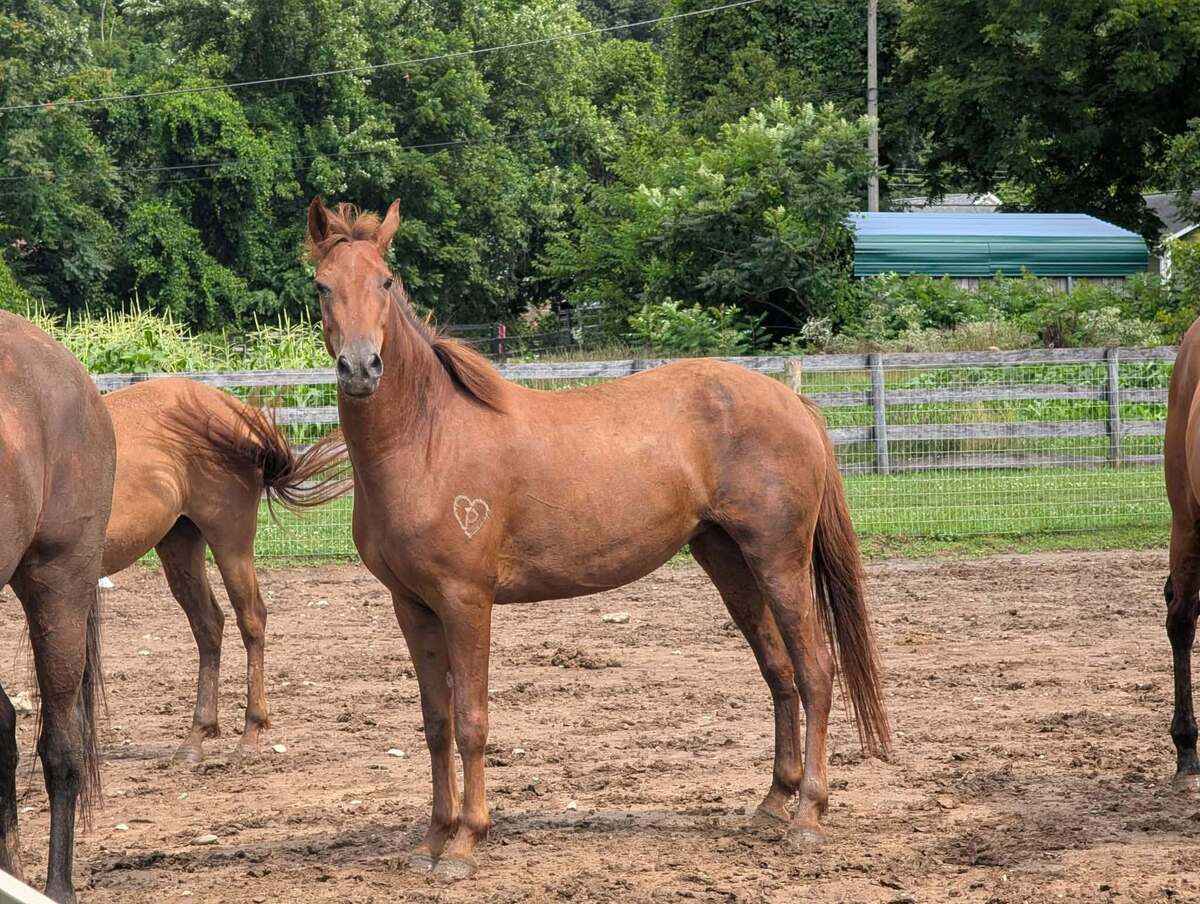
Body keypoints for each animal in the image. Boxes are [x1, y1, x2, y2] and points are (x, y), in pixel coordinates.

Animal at [101, 378, 348, 763]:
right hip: (180, 541)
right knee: (208, 624)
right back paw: (196, 737)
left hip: (230, 541)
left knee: (251, 619)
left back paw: (249, 735)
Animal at [304, 197, 891, 880]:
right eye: (322, 286)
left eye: (386, 281)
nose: (360, 367)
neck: (427, 439)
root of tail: (794, 403)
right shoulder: (412, 606)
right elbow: (435, 722)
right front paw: (432, 837)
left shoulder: (465, 602)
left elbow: (472, 720)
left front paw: (465, 842)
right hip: (729, 562)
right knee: (779, 673)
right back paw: (774, 802)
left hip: (779, 561)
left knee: (815, 670)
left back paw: (807, 817)